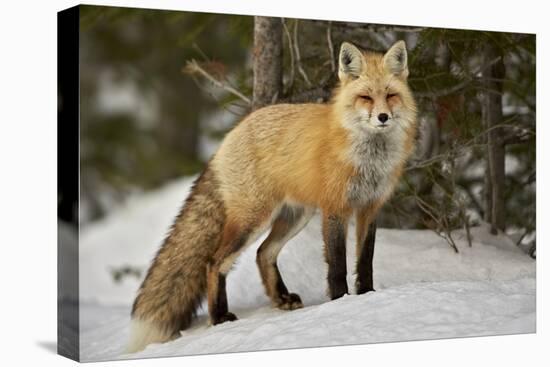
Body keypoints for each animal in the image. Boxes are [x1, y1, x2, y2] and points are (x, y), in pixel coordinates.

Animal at [127, 40, 418, 354]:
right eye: (365, 97)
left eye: (390, 95)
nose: (383, 117)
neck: (368, 160)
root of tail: (231, 134)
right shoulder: (335, 209)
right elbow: (338, 265)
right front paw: (340, 302)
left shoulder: (369, 208)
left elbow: (365, 260)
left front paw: (367, 295)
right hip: (253, 219)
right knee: (214, 262)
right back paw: (219, 318)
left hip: (295, 217)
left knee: (263, 253)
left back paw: (281, 299)